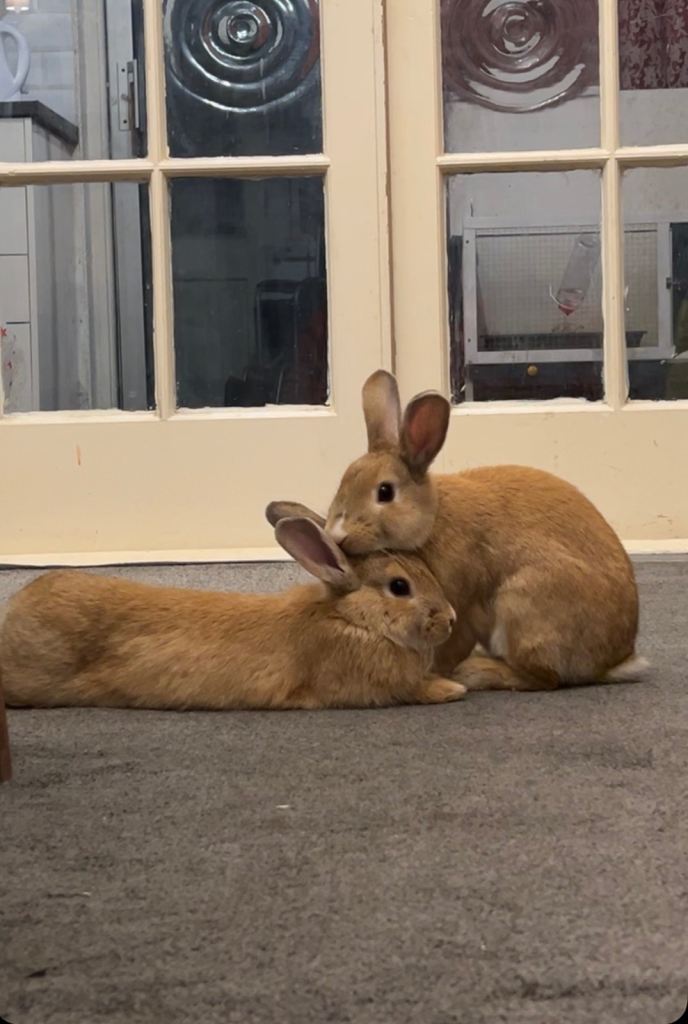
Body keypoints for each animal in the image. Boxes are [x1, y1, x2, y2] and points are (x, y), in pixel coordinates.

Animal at [0, 517, 466, 712]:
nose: (450, 619)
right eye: (400, 587)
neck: (354, 618)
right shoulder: (371, 686)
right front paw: (452, 689)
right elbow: (415, 690)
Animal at [267, 371, 647, 693]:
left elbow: (452, 641)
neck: (433, 519)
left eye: (385, 492)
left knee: (544, 678)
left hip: (522, 606)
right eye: (343, 484)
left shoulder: (460, 600)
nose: (338, 534)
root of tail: (611, 661)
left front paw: (437, 673)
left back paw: (478, 672)